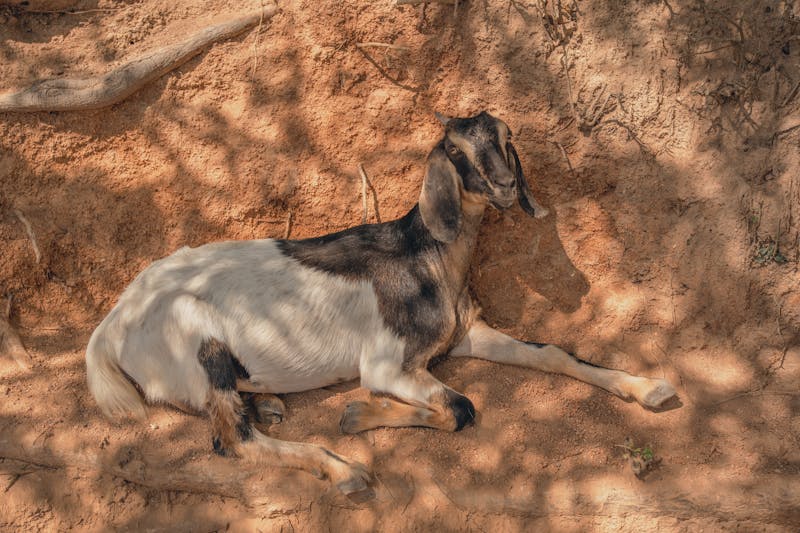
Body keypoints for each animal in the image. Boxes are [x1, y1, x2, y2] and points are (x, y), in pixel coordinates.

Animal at [86, 111, 677, 494]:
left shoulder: (465, 334)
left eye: (506, 138)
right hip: (197, 339)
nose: (506, 185)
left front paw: (650, 388)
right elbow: (460, 407)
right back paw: (343, 469)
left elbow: (553, 352)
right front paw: (359, 412)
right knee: (233, 440)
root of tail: (110, 327)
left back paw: (270, 402)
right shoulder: (387, 363)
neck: (425, 256)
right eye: (455, 151)